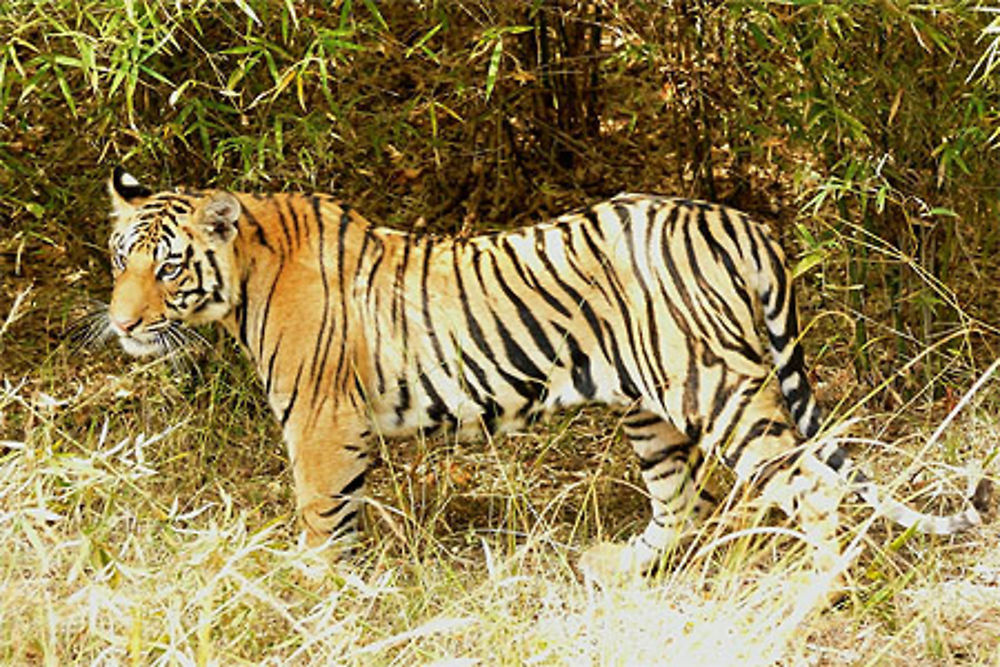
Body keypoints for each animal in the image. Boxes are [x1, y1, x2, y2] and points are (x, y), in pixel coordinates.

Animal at [82, 168, 988, 584]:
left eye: (168, 266)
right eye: (123, 259)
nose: (122, 323)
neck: (242, 276)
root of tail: (741, 222)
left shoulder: (319, 422)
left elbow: (318, 516)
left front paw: (317, 592)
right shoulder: (342, 428)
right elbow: (343, 513)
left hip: (715, 386)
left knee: (809, 487)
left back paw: (814, 590)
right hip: (649, 405)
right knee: (680, 500)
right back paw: (617, 568)